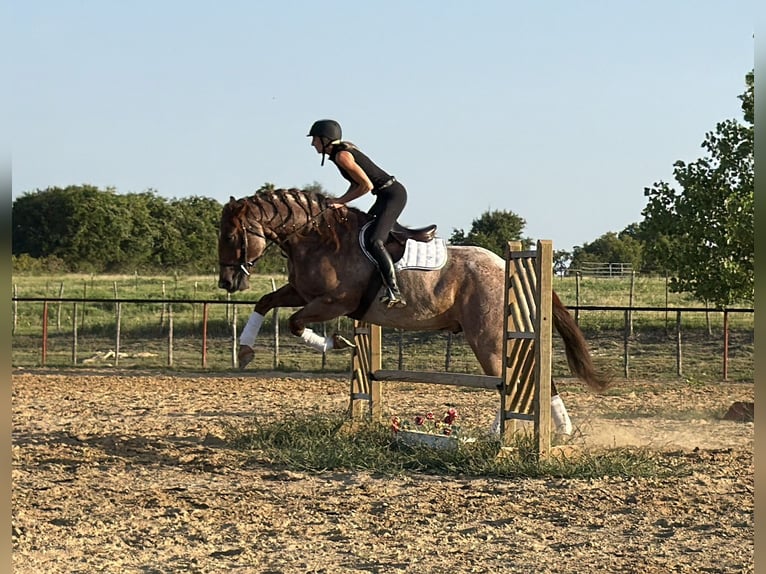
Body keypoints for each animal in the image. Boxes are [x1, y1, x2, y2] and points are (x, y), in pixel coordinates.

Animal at [217, 187, 610, 434]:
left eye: (232, 237)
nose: (226, 282)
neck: (318, 238)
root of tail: (504, 265)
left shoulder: (334, 302)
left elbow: (295, 323)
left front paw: (337, 343)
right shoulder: (301, 292)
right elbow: (266, 303)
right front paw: (246, 350)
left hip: (488, 338)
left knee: (509, 379)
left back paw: (517, 433)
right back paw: (550, 430)